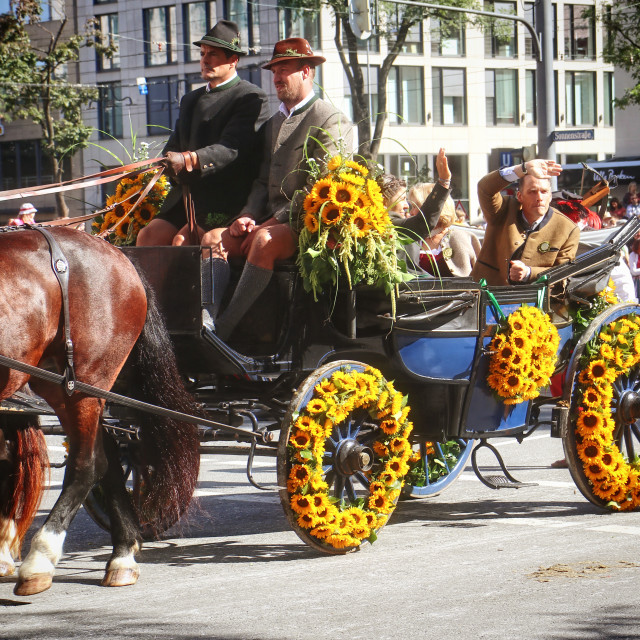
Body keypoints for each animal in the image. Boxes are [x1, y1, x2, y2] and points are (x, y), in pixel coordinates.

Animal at [0, 226, 199, 596]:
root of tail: (117, 253)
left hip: (82, 383)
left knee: (87, 464)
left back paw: (40, 560)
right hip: (65, 385)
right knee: (107, 457)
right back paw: (123, 552)